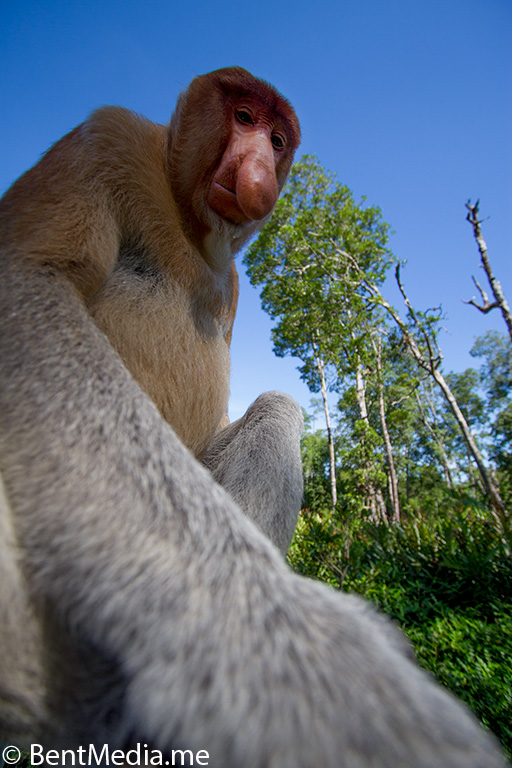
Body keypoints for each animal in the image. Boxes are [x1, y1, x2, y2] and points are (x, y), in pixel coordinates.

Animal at [0, 67, 506, 766]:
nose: (260, 168)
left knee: (278, 408)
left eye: (276, 138)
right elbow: (31, 279)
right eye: (242, 117)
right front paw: (303, 668)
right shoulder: (106, 141)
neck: (188, 219)